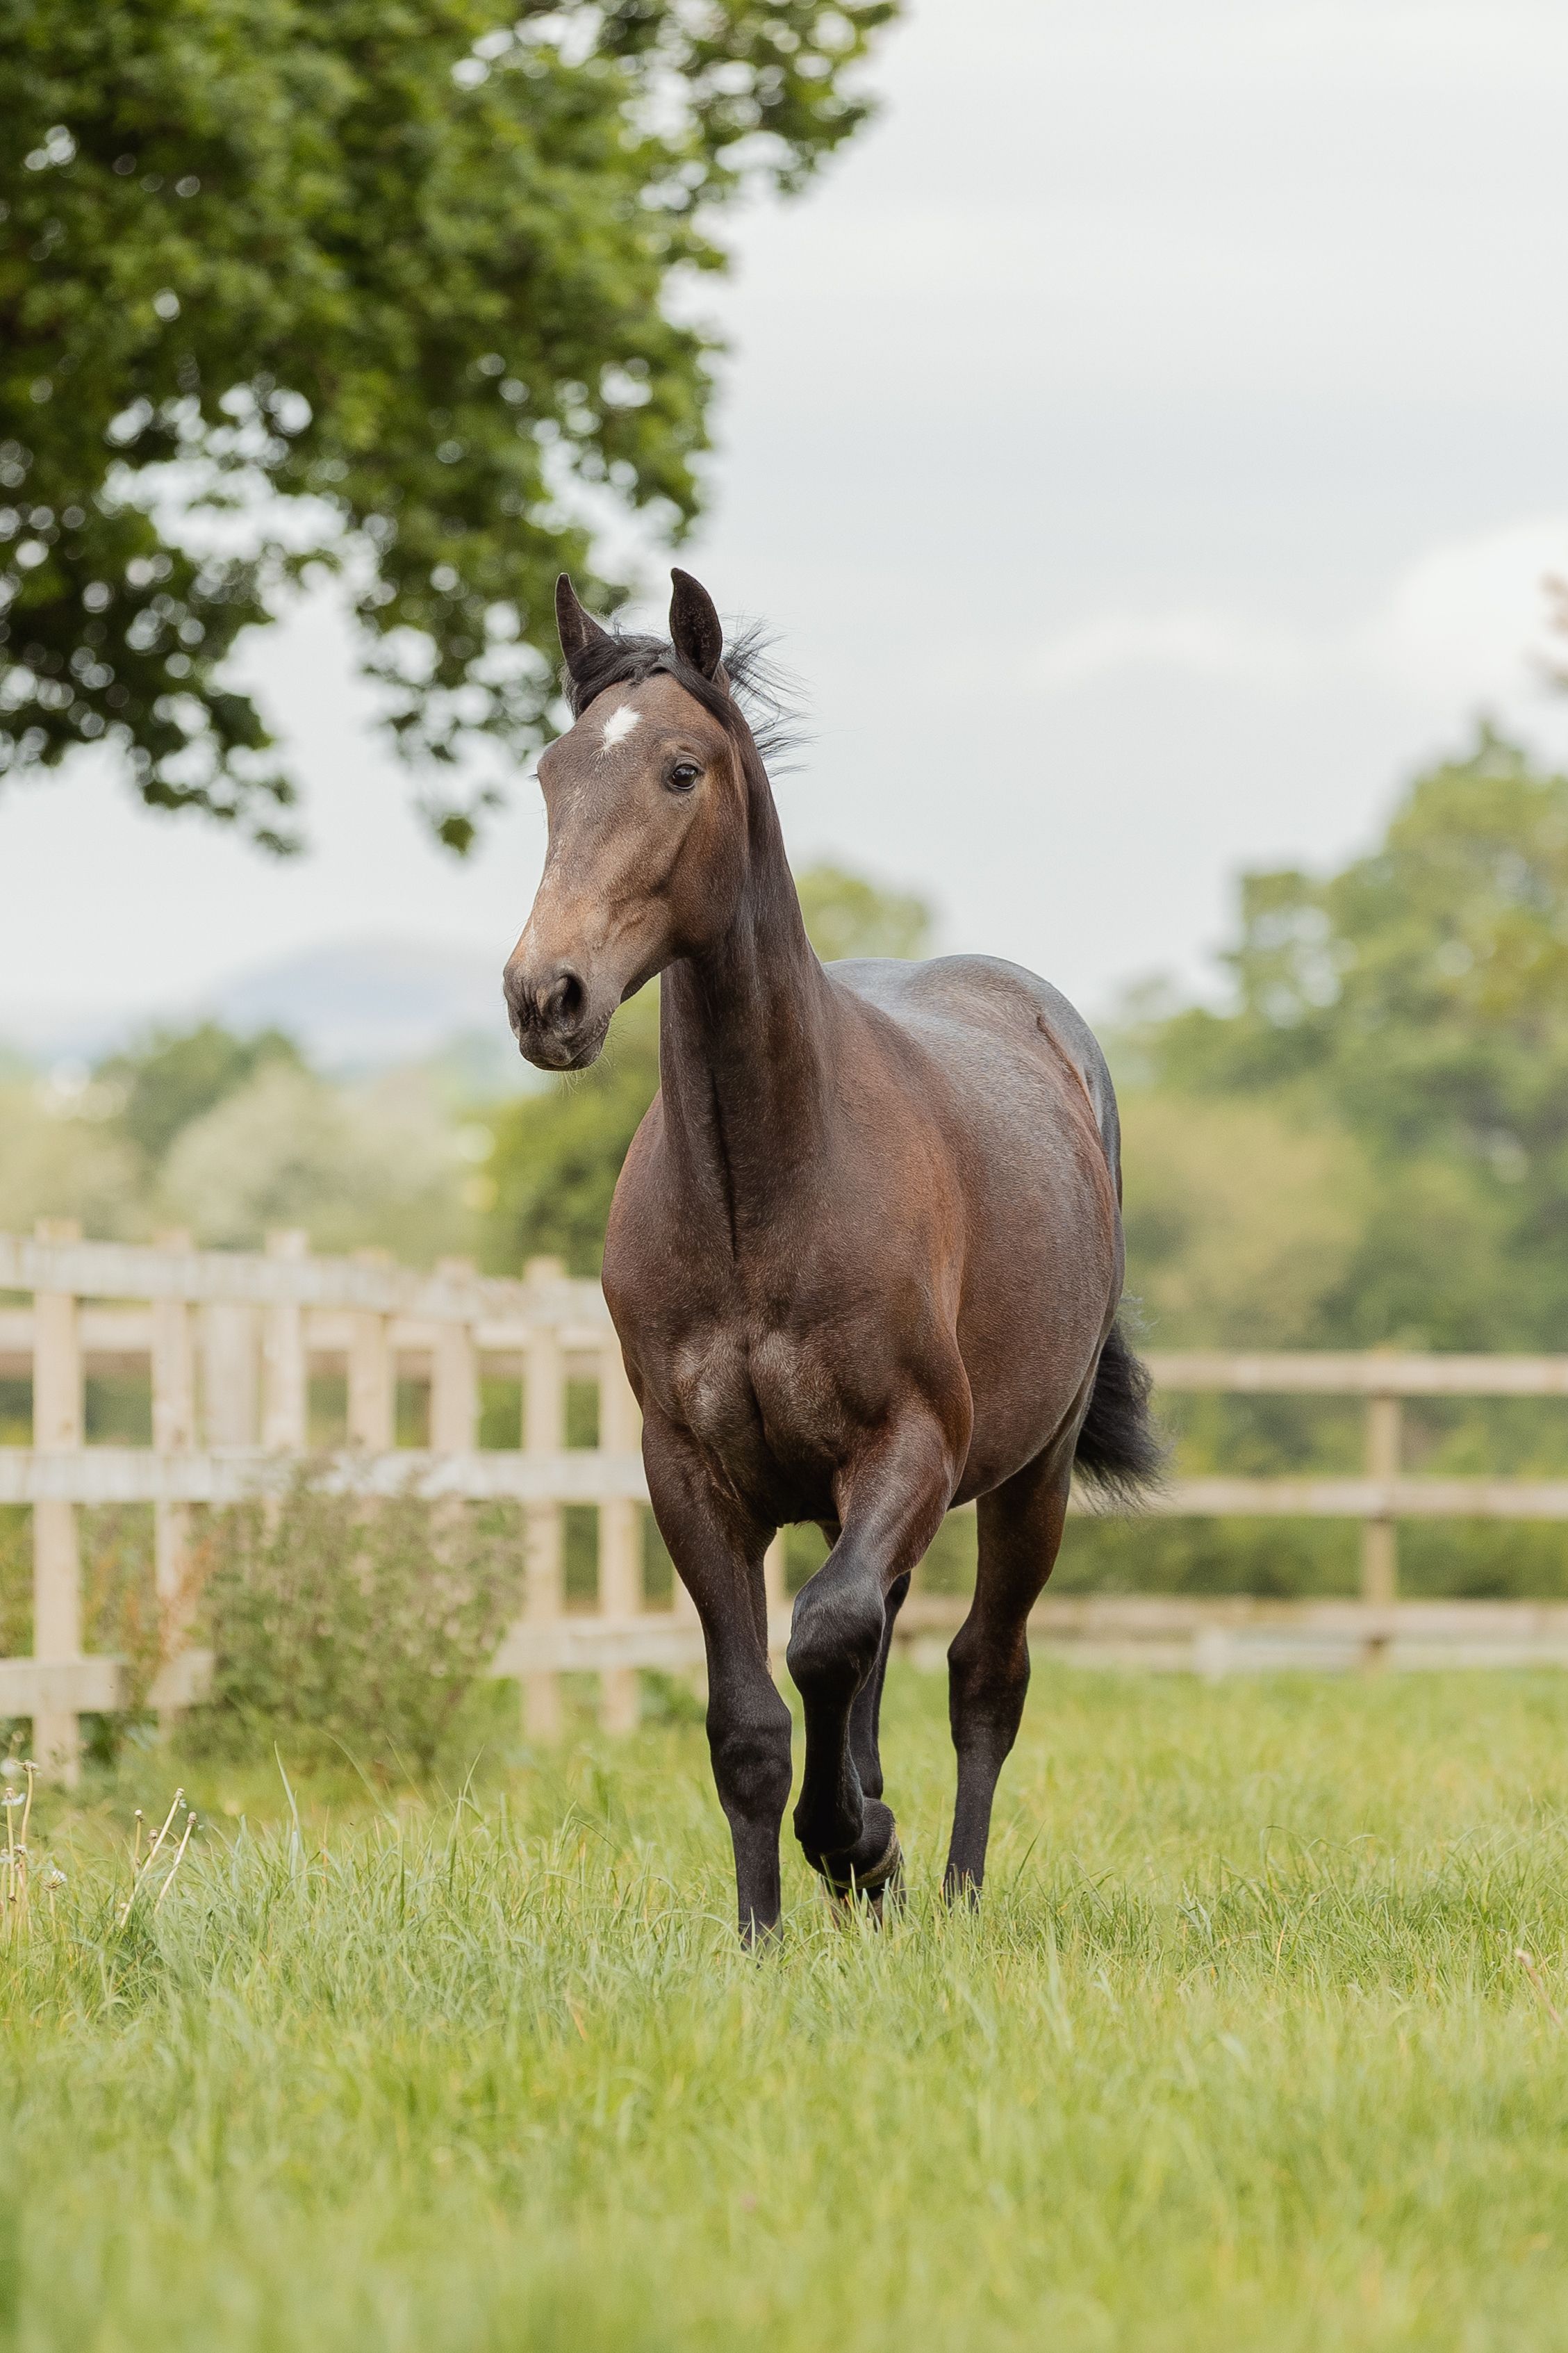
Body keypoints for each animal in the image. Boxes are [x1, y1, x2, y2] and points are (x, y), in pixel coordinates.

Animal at [504, 568, 1162, 1940]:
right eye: (549, 774)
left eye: (682, 771)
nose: (546, 996)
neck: (765, 1194)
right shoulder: (690, 1474)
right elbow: (751, 1717)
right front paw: (769, 1927)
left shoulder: (910, 1444)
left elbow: (826, 1639)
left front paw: (857, 1845)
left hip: (1030, 1476)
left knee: (980, 1673)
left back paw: (950, 1890)